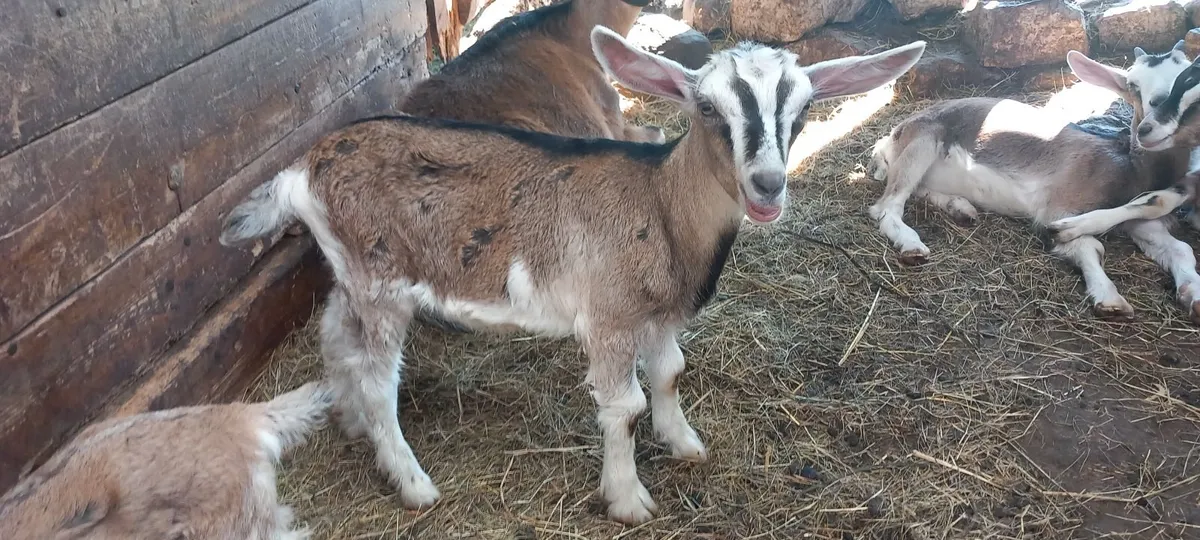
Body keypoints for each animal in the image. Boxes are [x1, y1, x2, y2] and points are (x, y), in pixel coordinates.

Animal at [219, 26, 925, 524]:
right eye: (705, 107)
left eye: (804, 108)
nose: (768, 185)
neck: (660, 207)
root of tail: (300, 170)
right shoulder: (610, 316)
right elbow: (625, 406)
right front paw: (628, 498)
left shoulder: (661, 314)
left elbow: (670, 374)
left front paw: (685, 443)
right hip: (381, 280)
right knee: (375, 378)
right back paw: (413, 482)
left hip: (352, 274)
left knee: (337, 339)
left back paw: (350, 424)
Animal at [867, 45, 1200, 323]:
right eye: (1133, 84)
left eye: (1186, 77)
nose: (1157, 111)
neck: (1128, 167)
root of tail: (889, 138)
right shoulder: (1058, 208)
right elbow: (1088, 245)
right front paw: (1110, 299)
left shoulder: (1137, 216)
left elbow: (1181, 248)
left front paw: (1193, 296)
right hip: (922, 143)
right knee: (886, 207)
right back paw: (912, 245)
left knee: (918, 191)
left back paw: (961, 208)